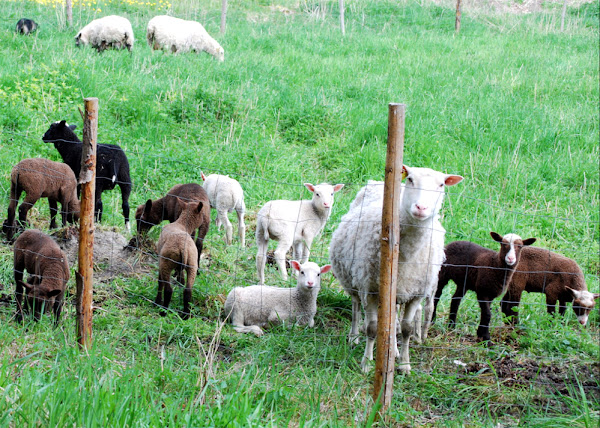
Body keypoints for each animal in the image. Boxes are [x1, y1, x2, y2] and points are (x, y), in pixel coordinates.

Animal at [328, 166, 464, 372]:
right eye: (410, 179)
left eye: (441, 185)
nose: (421, 208)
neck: (406, 255)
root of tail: (376, 182)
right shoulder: (371, 290)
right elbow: (372, 328)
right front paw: (366, 364)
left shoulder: (416, 293)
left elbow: (406, 329)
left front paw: (405, 365)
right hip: (354, 279)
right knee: (356, 306)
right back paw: (354, 336)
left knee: (393, 323)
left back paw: (394, 351)